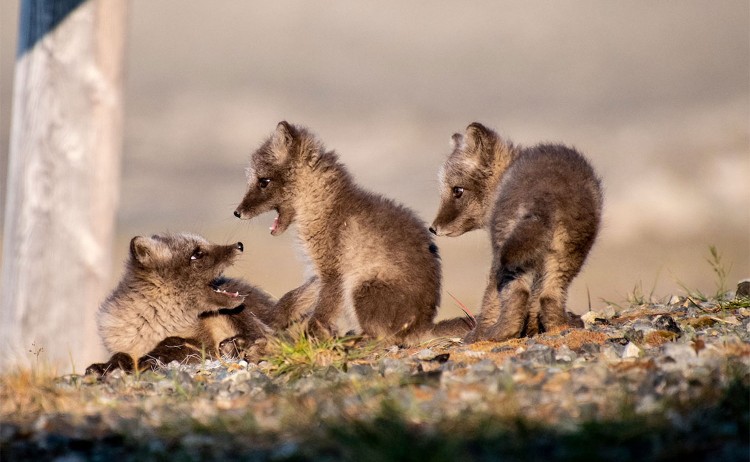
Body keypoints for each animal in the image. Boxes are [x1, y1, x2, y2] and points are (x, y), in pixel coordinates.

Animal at [86, 232, 278, 375]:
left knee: (263, 336)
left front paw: (149, 359)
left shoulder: (206, 346)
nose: (239, 245)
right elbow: (120, 354)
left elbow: (173, 341)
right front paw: (104, 366)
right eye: (197, 254)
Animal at [233, 121, 473, 344]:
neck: (322, 206)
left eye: (264, 181)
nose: (237, 212)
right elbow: (294, 297)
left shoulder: (334, 272)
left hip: (361, 287)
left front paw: (310, 339)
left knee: (384, 339)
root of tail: (422, 326)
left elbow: (321, 313)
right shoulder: (322, 272)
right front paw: (272, 319)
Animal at [430, 122, 602, 343]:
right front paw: (532, 328)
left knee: (513, 294)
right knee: (550, 296)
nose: (433, 228)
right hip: (568, 254)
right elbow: (535, 300)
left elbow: (493, 299)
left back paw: (491, 334)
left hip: (506, 255)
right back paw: (560, 326)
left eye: (457, 191)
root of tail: (547, 195)